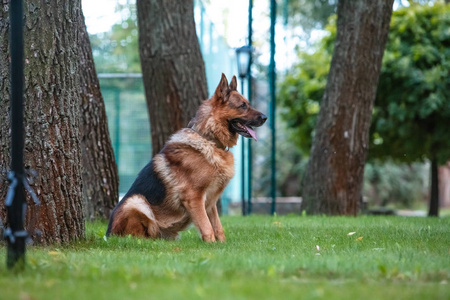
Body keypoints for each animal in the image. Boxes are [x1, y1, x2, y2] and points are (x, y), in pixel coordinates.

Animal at [105, 74, 268, 243]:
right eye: (243, 106)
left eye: (247, 104)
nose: (266, 117)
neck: (209, 139)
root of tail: (108, 234)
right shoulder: (194, 197)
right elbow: (207, 226)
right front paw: (211, 244)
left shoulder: (210, 202)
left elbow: (218, 226)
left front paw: (221, 244)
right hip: (136, 202)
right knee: (137, 235)